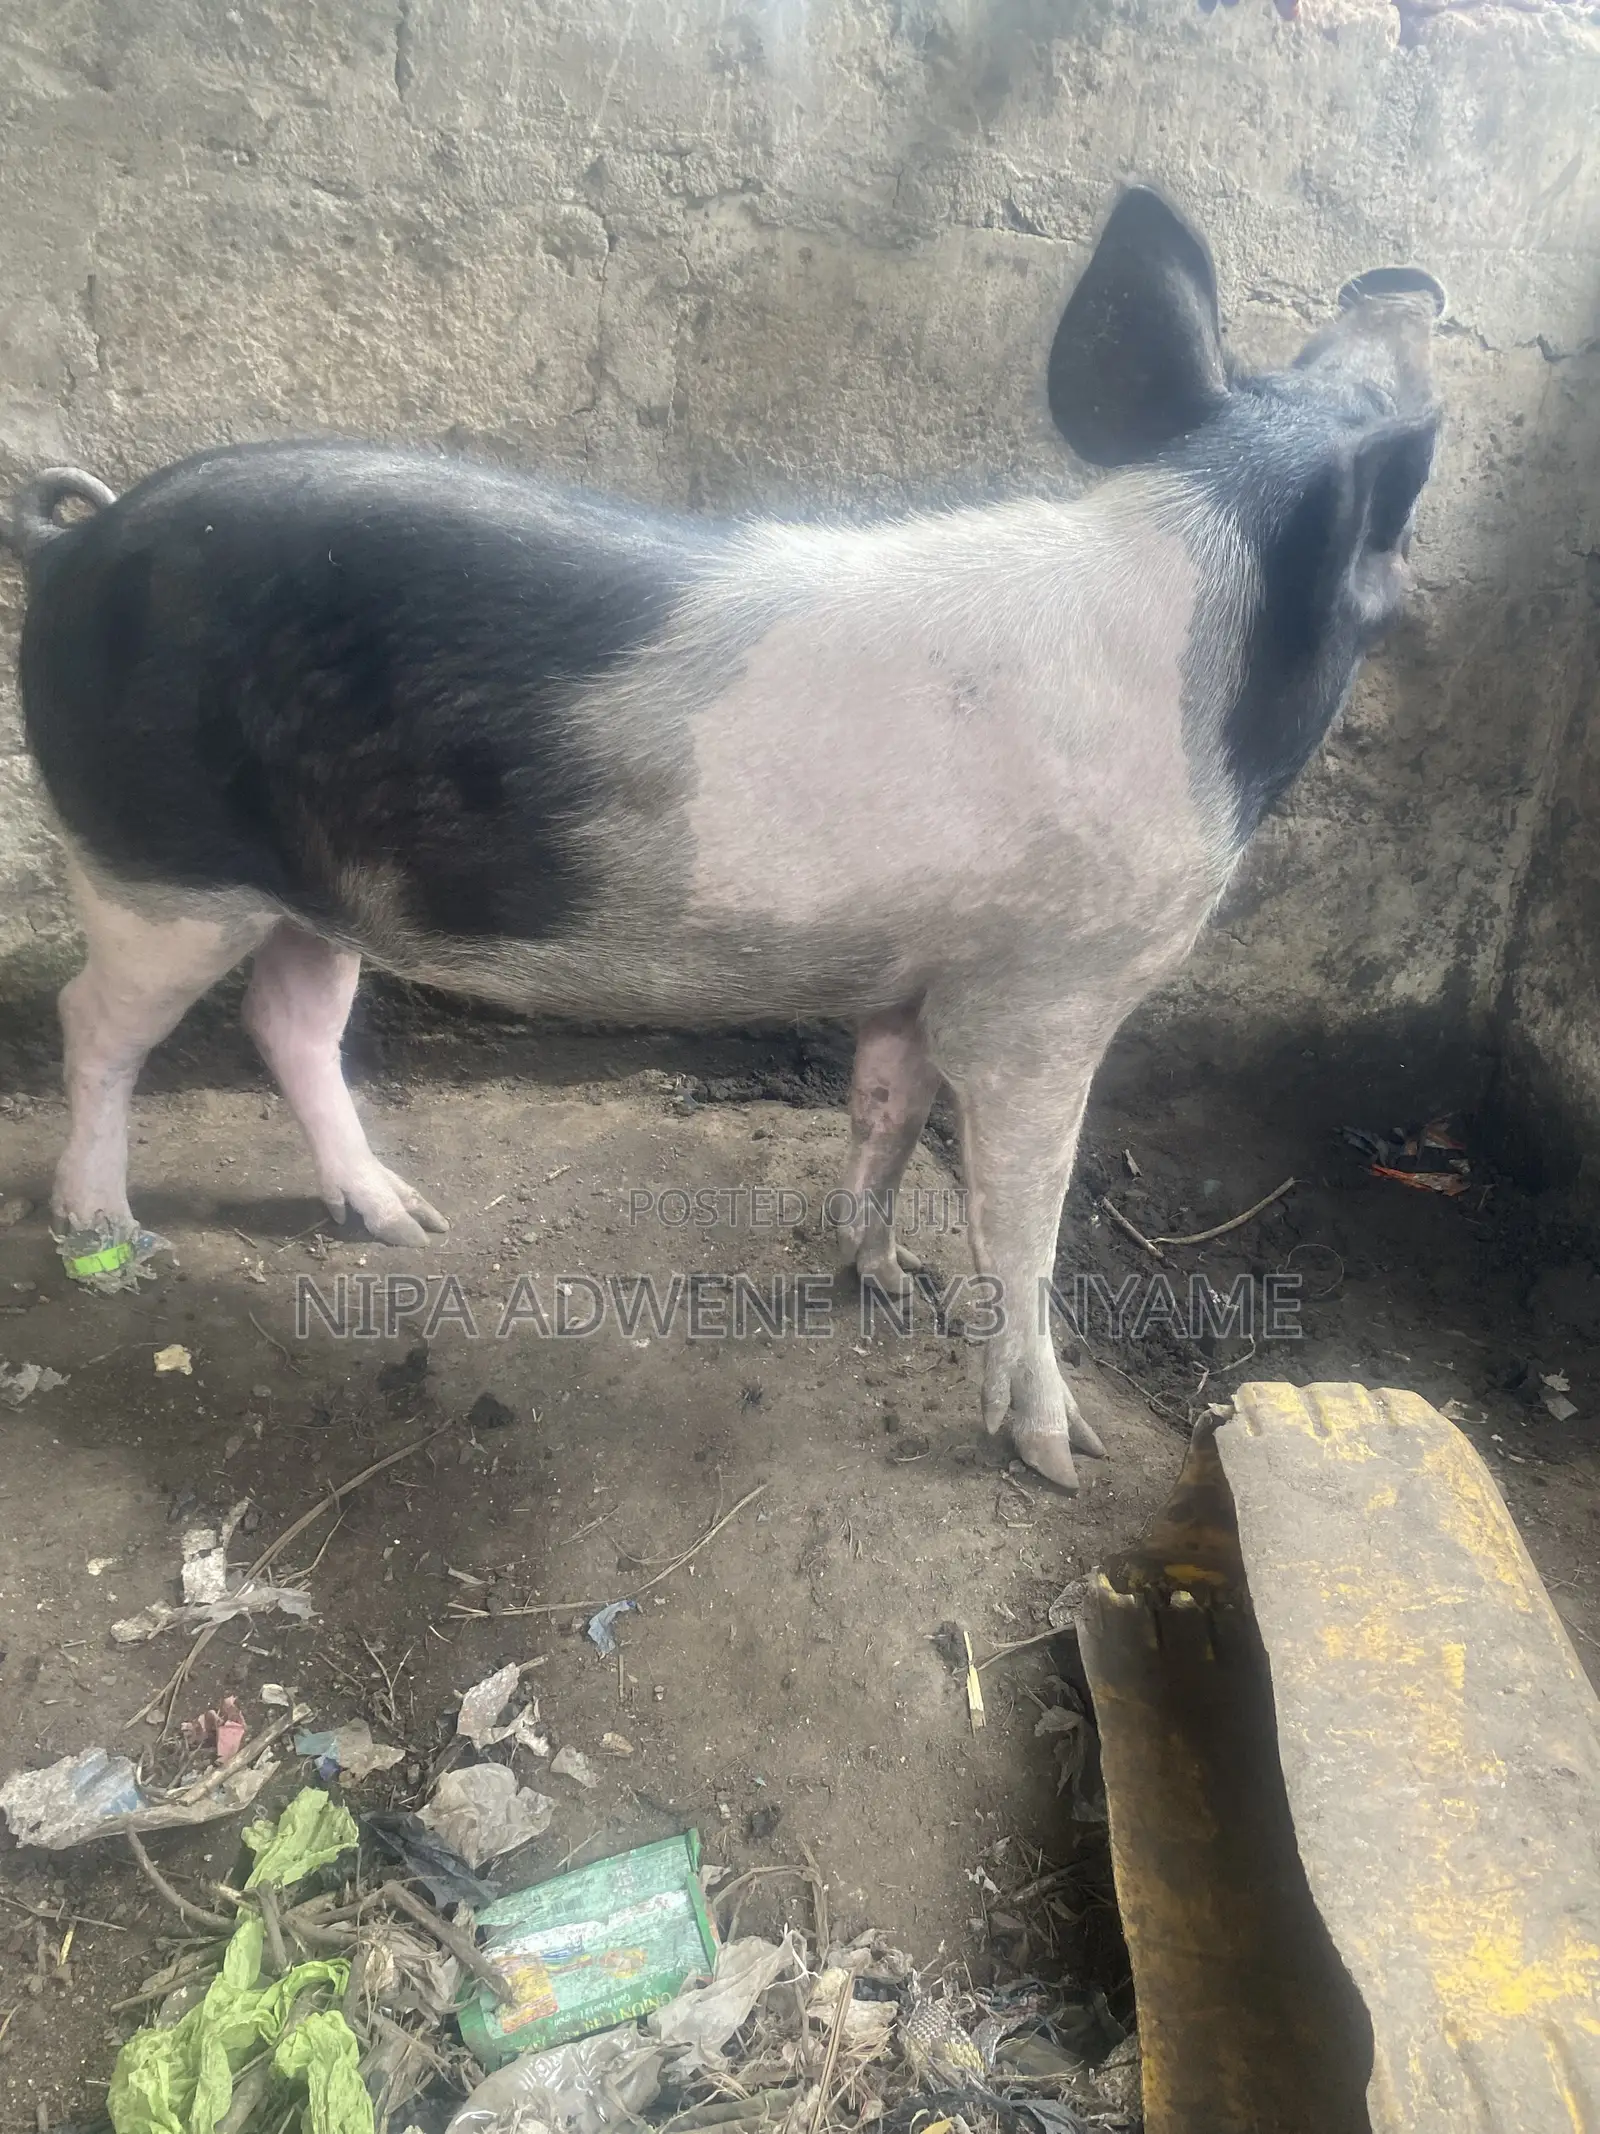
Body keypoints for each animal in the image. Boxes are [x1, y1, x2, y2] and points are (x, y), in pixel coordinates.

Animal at [2, 187, 1443, 1491]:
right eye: (1407, 482)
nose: (1401, 280)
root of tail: (73, 544)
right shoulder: (1045, 990)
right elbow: (1024, 1220)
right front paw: (1061, 1455)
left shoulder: (915, 972)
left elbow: (887, 1108)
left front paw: (882, 1273)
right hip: (158, 869)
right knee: (92, 1021)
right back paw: (105, 1234)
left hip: (324, 888)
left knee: (287, 1021)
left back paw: (401, 1220)